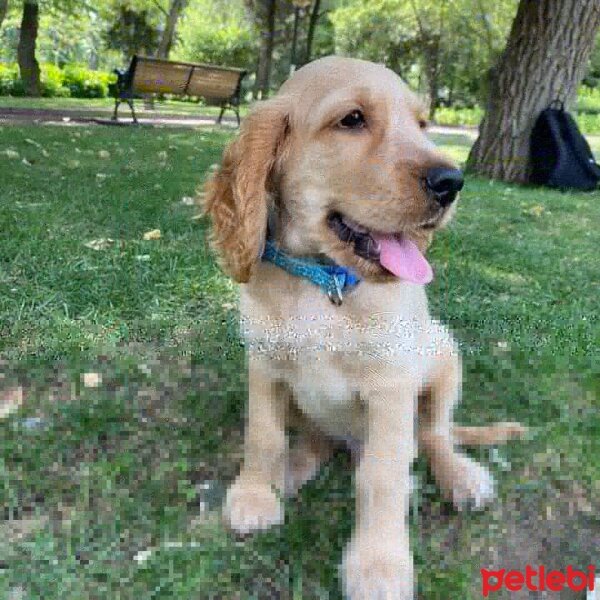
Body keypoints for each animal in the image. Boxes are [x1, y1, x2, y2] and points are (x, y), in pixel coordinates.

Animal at [203, 55, 524, 596]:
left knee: (434, 435)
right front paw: (253, 494)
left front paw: (378, 565)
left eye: (422, 124)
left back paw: (460, 476)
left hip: (443, 354)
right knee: (317, 439)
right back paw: (290, 470)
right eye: (352, 119)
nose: (452, 181)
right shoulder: (265, 366)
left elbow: (382, 473)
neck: (323, 281)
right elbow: (263, 436)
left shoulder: (391, 387)